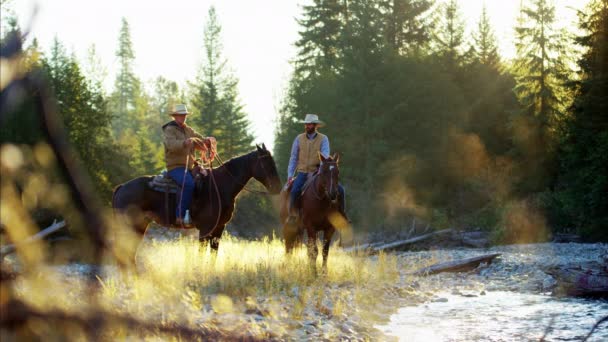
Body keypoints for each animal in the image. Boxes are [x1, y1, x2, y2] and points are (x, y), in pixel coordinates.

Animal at [113, 144, 282, 268]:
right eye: (266, 163)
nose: (278, 188)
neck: (219, 186)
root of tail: (121, 188)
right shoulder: (205, 228)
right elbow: (201, 253)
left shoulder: (218, 228)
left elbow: (213, 254)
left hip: (139, 227)